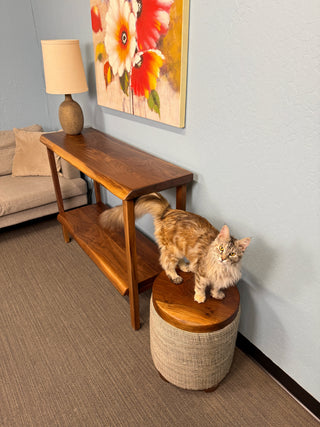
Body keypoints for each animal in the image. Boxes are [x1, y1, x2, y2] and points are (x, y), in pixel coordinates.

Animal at [99, 192, 251, 302]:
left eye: (232, 254)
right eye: (221, 248)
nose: (223, 258)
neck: (222, 268)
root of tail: (168, 211)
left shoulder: (220, 279)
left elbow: (216, 287)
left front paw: (216, 294)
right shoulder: (202, 274)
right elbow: (200, 286)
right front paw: (200, 297)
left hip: (180, 247)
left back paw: (186, 267)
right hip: (173, 249)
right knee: (166, 263)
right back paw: (175, 276)